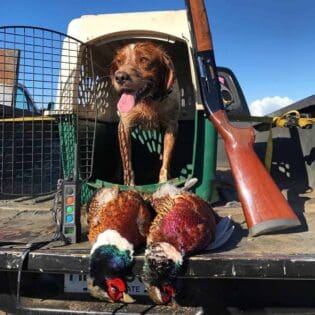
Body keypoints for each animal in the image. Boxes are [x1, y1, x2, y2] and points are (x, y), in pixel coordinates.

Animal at [111, 40, 180, 186]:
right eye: (119, 61)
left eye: (144, 59)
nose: (119, 77)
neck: (148, 100)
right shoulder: (124, 126)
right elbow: (128, 165)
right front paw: (129, 186)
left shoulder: (171, 126)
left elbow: (165, 162)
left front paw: (164, 182)